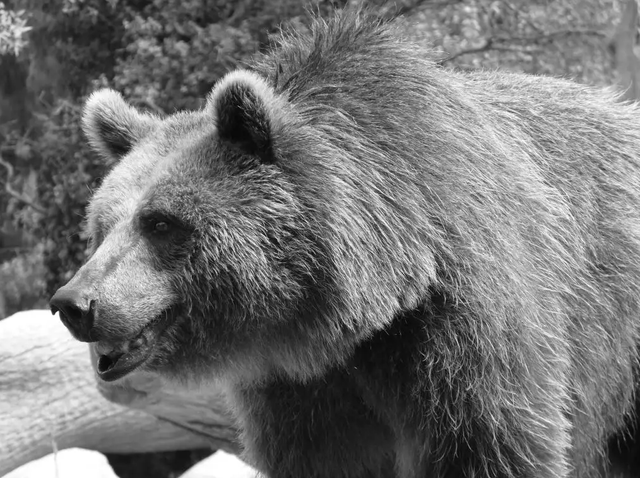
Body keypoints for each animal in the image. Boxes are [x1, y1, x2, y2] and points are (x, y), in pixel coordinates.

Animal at [50, 9, 640, 478]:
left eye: (161, 223)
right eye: (102, 225)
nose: (75, 303)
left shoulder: (466, 336)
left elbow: (494, 447)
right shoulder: (305, 394)